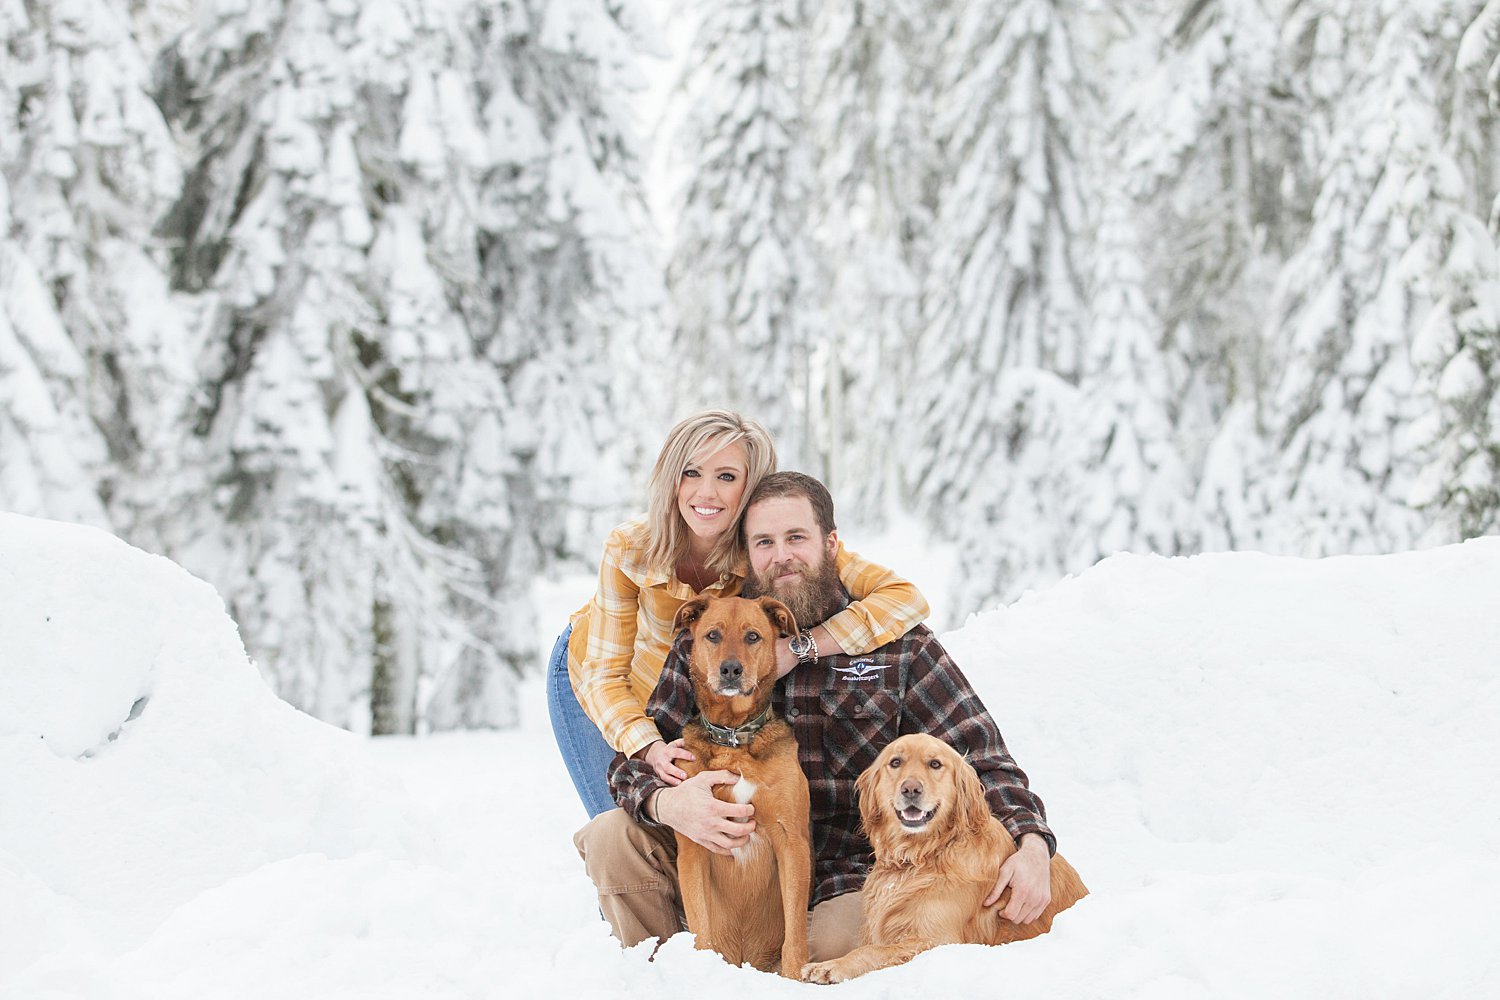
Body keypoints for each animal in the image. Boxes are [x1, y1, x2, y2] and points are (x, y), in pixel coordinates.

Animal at [675, 593, 816, 977]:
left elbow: (795, 932)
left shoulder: (790, 839)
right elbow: (701, 929)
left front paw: (795, 976)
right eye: (712, 635)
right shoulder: (693, 844)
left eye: (753, 636)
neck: (735, 738)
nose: (731, 670)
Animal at [804, 731, 1086, 983]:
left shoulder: (938, 939)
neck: (922, 855)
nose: (911, 788)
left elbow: (872, 950)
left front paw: (830, 966)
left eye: (935, 764)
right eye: (895, 762)